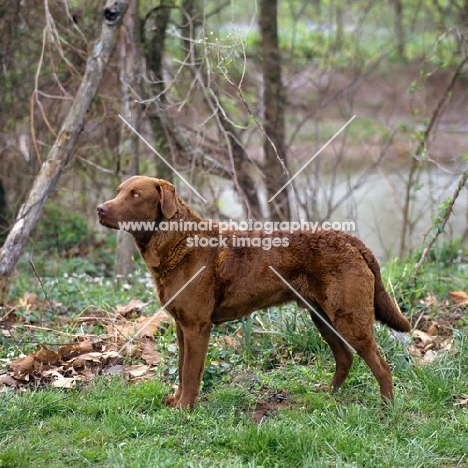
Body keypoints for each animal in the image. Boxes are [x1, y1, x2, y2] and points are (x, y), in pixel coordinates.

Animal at [98, 177, 410, 408]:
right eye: (118, 191)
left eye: (136, 195)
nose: (101, 208)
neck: (180, 242)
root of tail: (353, 241)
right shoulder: (181, 325)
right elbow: (182, 368)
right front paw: (175, 402)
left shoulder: (197, 326)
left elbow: (189, 372)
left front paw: (184, 409)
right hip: (321, 315)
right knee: (345, 357)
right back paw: (327, 393)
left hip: (349, 317)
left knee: (381, 365)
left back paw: (386, 409)